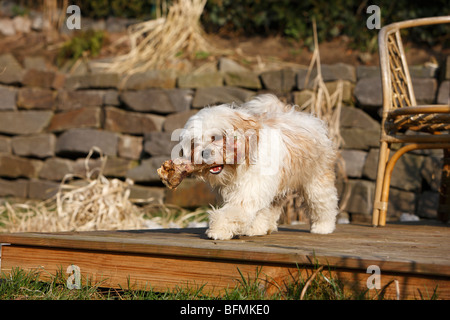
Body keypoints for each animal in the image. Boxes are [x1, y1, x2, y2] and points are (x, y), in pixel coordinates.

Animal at [158, 94, 338, 240]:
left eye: (215, 137)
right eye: (194, 143)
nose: (203, 153)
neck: (238, 168)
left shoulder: (251, 188)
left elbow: (236, 210)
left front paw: (218, 230)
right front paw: (254, 228)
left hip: (316, 178)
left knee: (323, 201)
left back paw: (323, 226)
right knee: (272, 206)